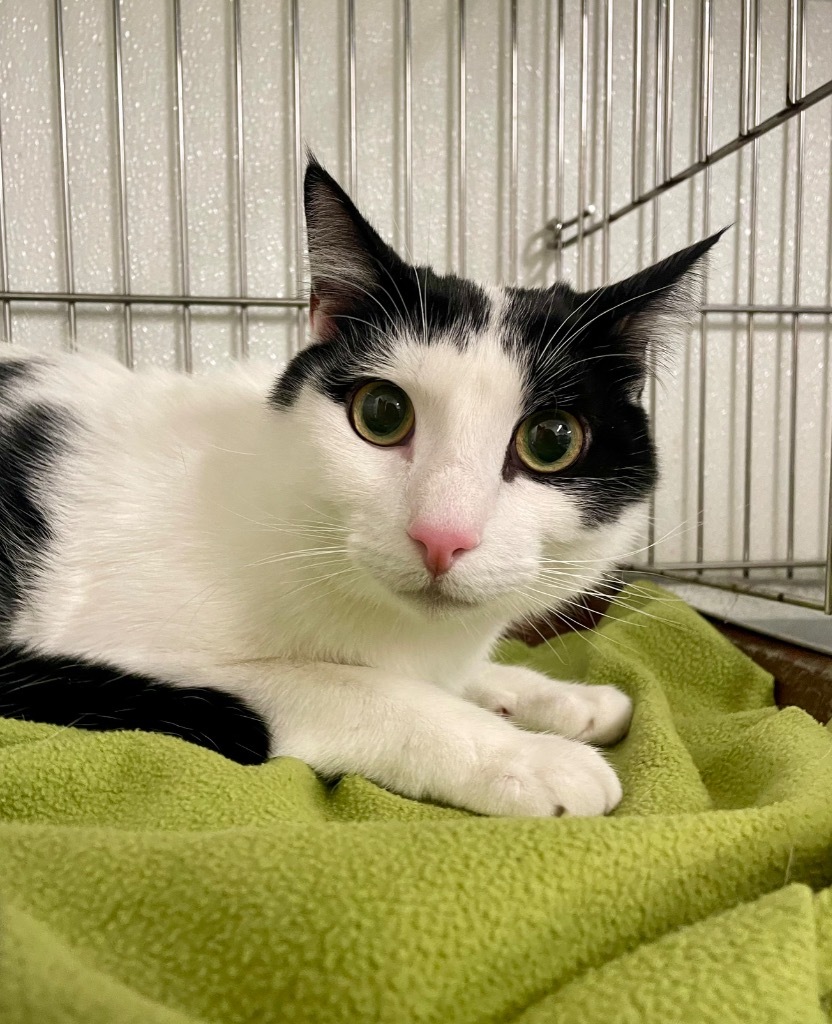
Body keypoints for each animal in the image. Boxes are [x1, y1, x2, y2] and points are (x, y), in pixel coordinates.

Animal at [0, 157, 721, 815]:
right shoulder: (134, 640)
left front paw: (554, 695)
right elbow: (354, 686)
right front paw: (526, 755)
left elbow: (457, 675)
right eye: (381, 413)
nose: (441, 536)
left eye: (551, 441)